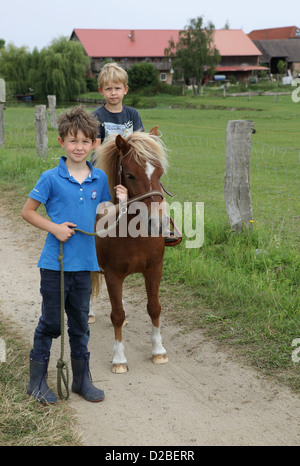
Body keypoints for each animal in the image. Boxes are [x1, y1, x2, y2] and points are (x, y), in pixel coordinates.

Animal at [92, 128, 169, 374]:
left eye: (160, 173)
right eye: (131, 175)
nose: (158, 223)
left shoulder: (154, 269)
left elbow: (154, 308)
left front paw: (158, 351)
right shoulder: (112, 275)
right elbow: (116, 315)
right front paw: (119, 359)